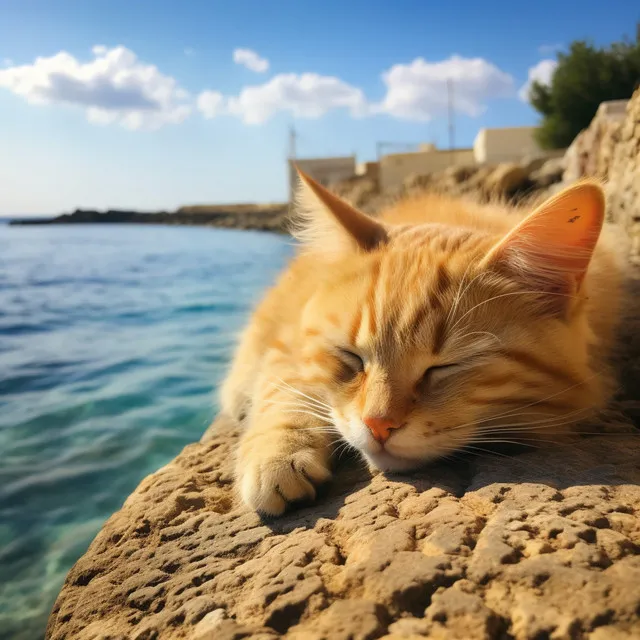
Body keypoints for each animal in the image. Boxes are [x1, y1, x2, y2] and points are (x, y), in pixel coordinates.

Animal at [220, 169, 624, 516]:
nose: (377, 425)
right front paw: (277, 453)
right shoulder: (286, 344)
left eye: (444, 367)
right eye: (352, 358)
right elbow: (284, 389)